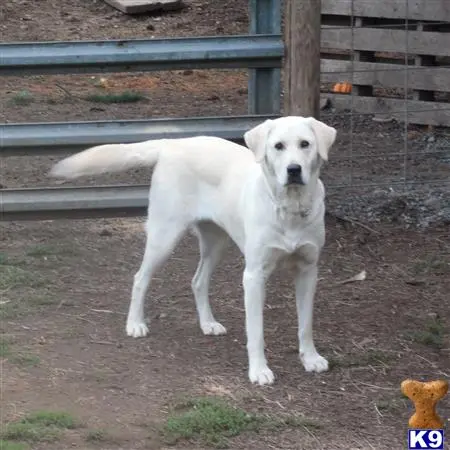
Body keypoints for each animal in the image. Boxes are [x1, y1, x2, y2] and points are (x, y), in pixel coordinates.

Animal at [51, 117, 336, 386]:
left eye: (305, 144)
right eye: (278, 146)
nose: (294, 169)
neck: (290, 209)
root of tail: (172, 143)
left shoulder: (308, 271)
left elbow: (306, 324)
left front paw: (310, 358)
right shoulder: (254, 276)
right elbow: (256, 330)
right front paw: (259, 370)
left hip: (216, 243)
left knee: (198, 280)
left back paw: (207, 323)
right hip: (164, 236)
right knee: (140, 278)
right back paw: (135, 324)